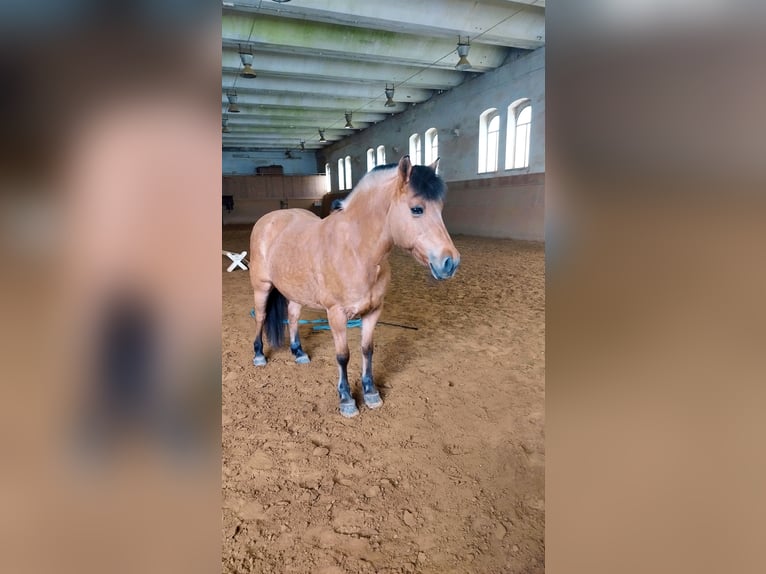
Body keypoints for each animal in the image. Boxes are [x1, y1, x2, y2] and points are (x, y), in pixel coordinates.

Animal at [249, 158, 460, 418]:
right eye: (417, 209)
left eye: (440, 209)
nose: (451, 262)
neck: (356, 251)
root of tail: (270, 219)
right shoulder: (336, 315)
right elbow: (343, 356)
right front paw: (347, 399)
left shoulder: (373, 312)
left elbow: (367, 349)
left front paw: (371, 392)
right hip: (262, 287)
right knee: (260, 317)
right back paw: (259, 355)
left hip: (296, 291)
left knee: (293, 316)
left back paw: (298, 352)